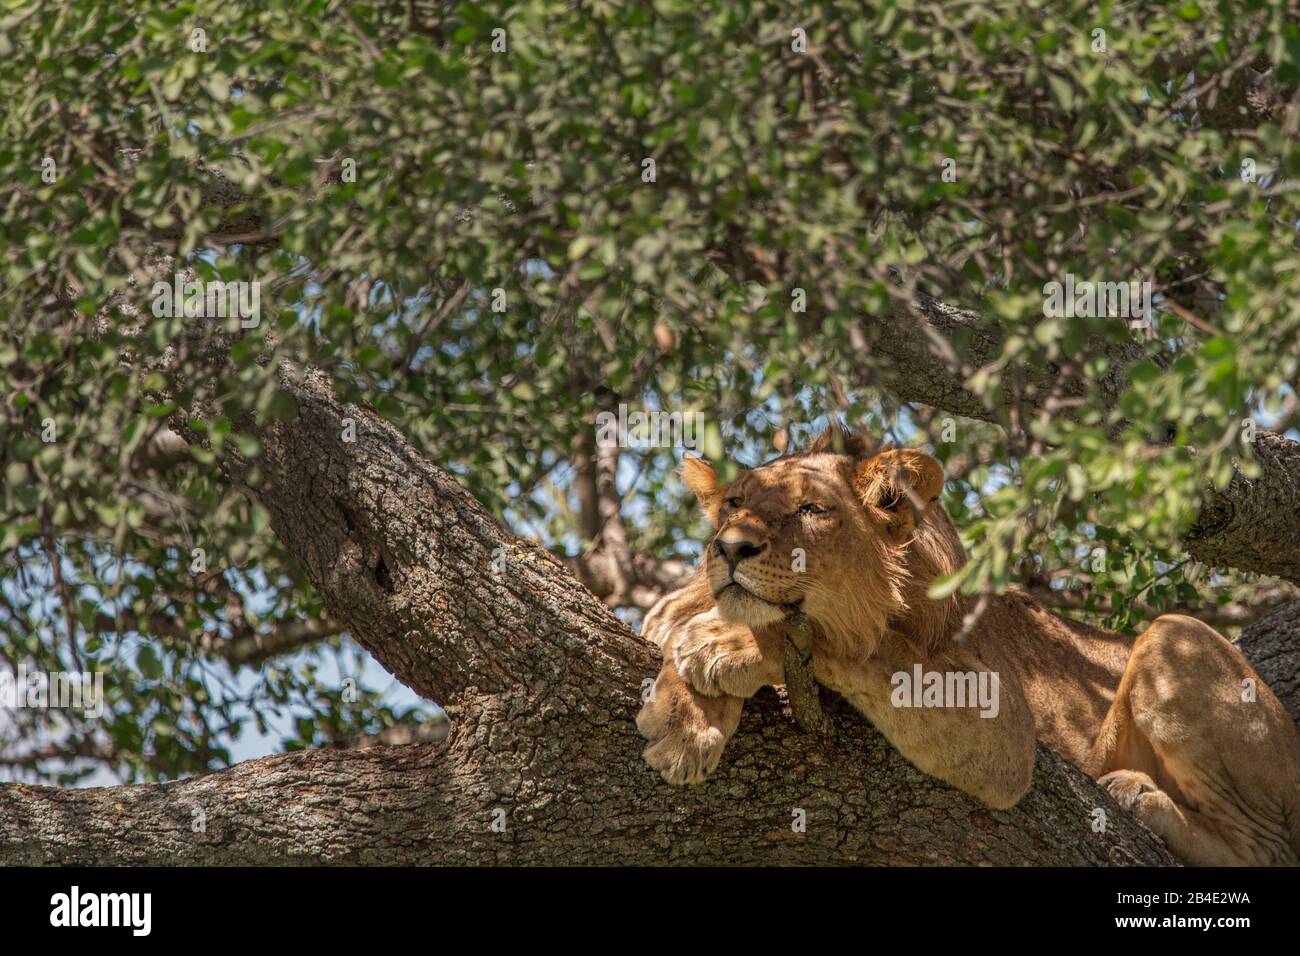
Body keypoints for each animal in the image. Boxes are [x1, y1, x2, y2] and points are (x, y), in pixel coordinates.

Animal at [635, 426, 1300, 866]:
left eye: (811, 509)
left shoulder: (1003, 728)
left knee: (1267, 850)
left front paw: (719, 645)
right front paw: (686, 720)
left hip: (1175, 633)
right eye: (733, 504)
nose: (729, 547)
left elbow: (848, 644)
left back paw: (1138, 796)